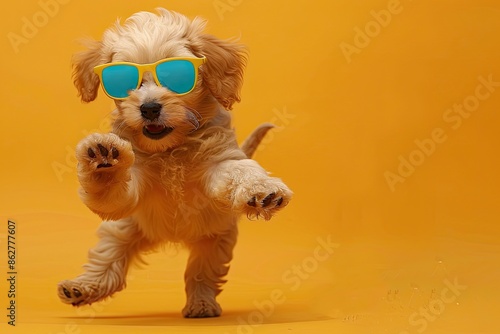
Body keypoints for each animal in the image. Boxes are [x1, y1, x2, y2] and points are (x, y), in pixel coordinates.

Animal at [57, 6, 292, 318]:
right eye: (124, 82)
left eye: (177, 76)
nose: (149, 108)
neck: (170, 150)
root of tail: (167, 237)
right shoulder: (131, 190)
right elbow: (114, 190)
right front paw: (104, 158)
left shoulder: (219, 163)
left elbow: (240, 170)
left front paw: (262, 189)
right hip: (122, 231)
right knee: (108, 265)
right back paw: (82, 287)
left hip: (215, 242)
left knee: (201, 273)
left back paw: (202, 303)